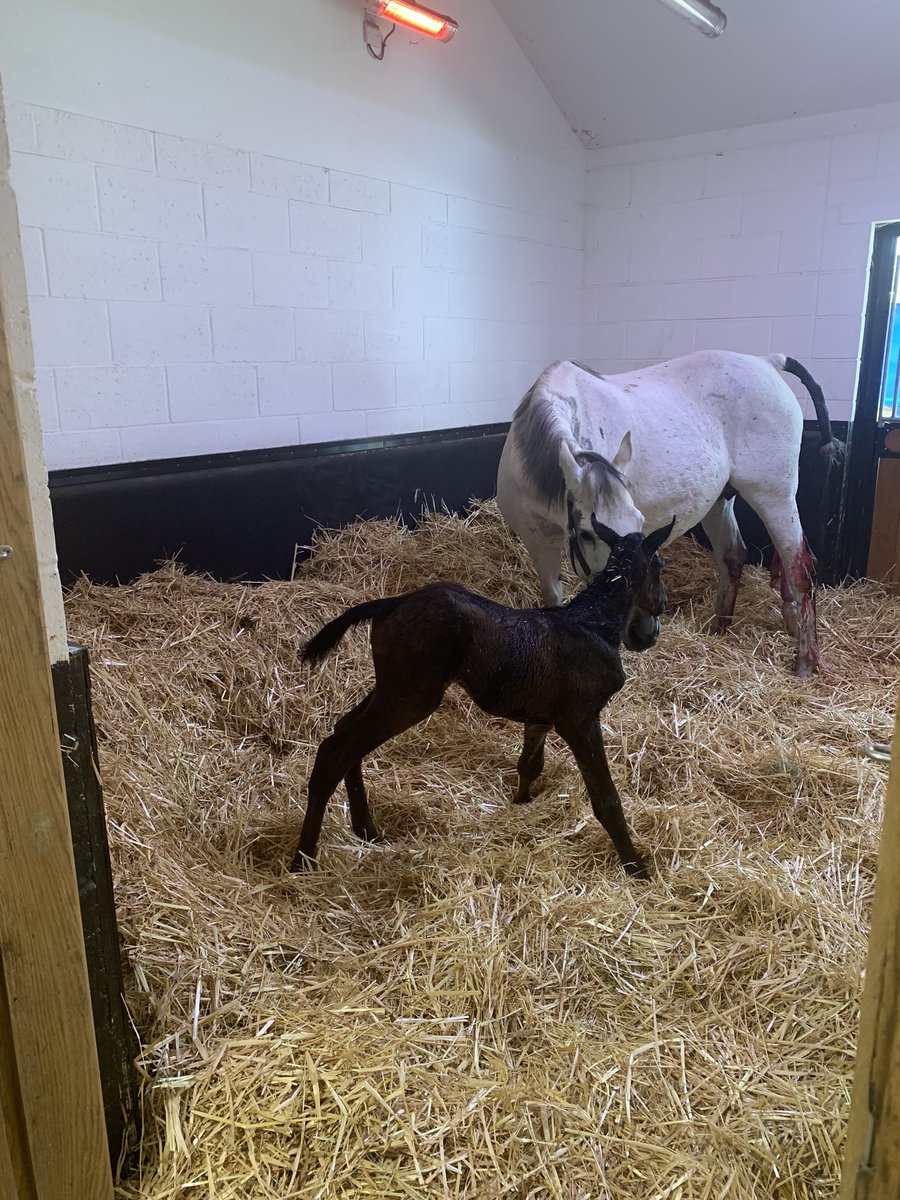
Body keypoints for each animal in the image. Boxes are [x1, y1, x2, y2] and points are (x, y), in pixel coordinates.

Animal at [496, 350, 843, 676]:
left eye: (640, 523)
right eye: (586, 533)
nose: (642, 629)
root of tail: (767, 362)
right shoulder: (538, 543)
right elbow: (553, 599)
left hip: (774, 497)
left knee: (799, 570)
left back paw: (806, 661)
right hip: (721, 501)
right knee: (733, 557)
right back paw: (720, 629)